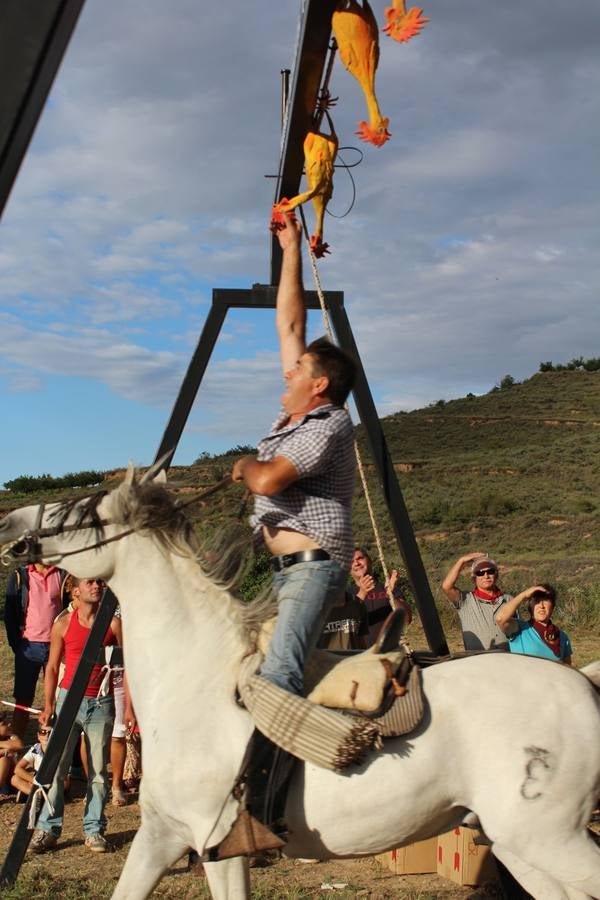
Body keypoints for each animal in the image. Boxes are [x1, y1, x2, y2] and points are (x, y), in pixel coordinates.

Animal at [1, 468, 600, 896]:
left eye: (79, 511)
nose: (10, 524)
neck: (194, 679)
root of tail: (585, 687)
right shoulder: (162, 835)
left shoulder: (215, 844)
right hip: (519, 845)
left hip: (548, 838)